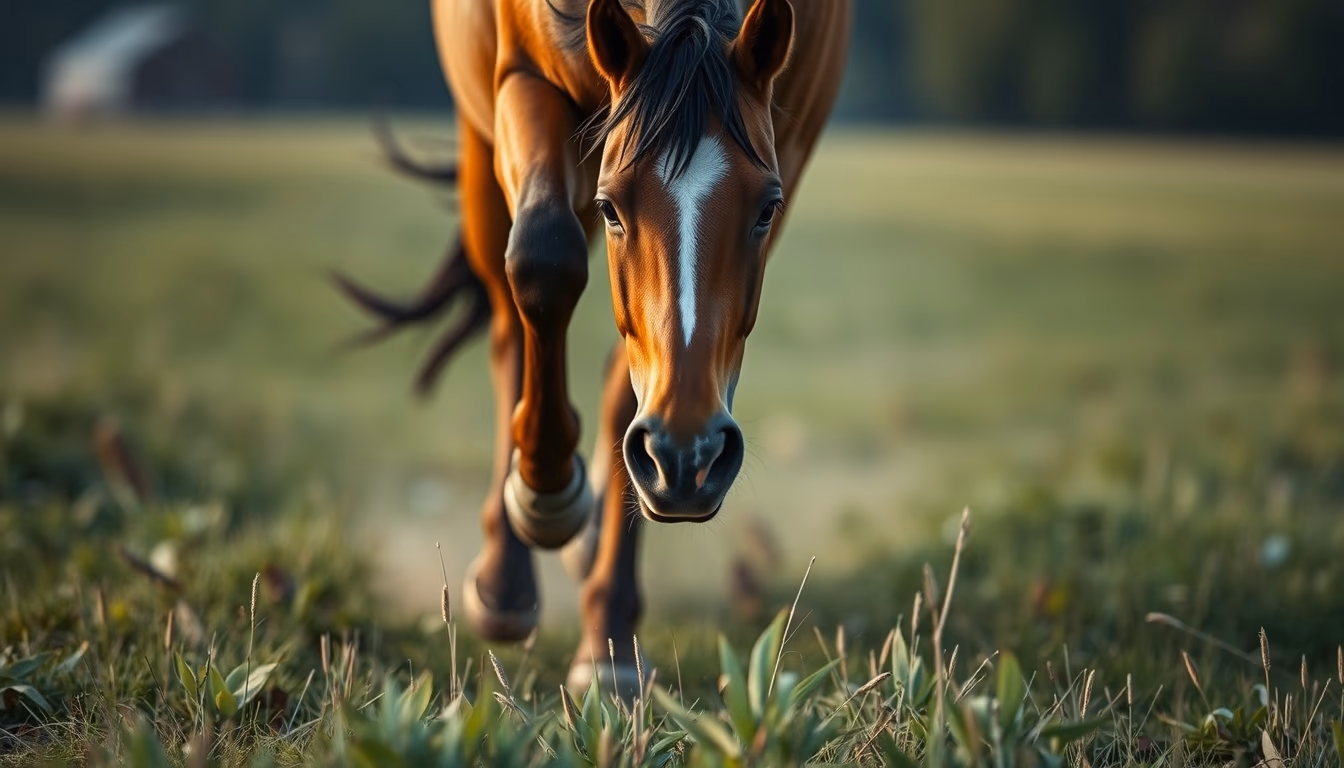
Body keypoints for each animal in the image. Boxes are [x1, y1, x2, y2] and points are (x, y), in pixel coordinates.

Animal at [337, 0, 851, 695]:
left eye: (765, 209)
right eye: (611, 207)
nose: (687, 457)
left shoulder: (790, 135)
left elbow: (623, 381)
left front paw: (610, 639)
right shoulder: (522, 80)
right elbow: (542, 258)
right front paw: (548, 498)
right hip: (482, 143)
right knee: (510, 326)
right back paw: (508, 575)